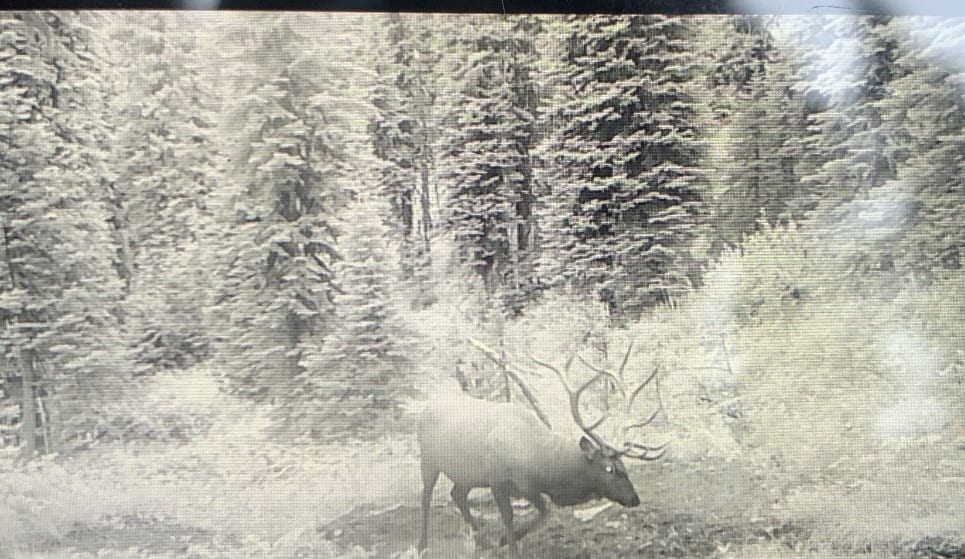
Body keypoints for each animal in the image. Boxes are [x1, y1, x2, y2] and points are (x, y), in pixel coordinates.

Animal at [417, 346, 667, 557]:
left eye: (624, 466)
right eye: (609, 469)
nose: (634, 498)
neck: (542, 465)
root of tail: (427, 405)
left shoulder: (529, 487)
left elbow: (546, 513)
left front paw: (502, 540)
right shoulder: (498, 479)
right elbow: (509, 517)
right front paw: (510, 547)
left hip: (467, 475)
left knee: (456, 494)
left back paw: (483, 541)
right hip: (428, 459)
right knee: (426, 497)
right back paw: (423, 546)